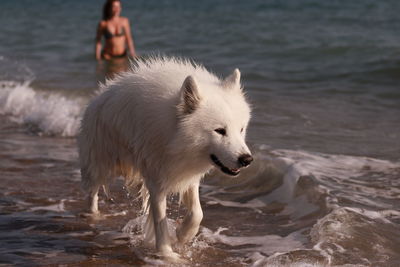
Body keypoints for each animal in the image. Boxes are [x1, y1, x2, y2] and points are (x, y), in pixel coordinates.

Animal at [79, 57, 253, 262]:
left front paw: (182, 235)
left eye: (241, 129)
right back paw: (93, 217)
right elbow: (160, 223)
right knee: (92, 193)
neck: (174, 136)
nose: (247, 159)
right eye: (220, 131)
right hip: (98, 165)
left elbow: (197, 213)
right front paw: (167, 255)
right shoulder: (157, 182)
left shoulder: (188, 175)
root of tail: (98, 95)